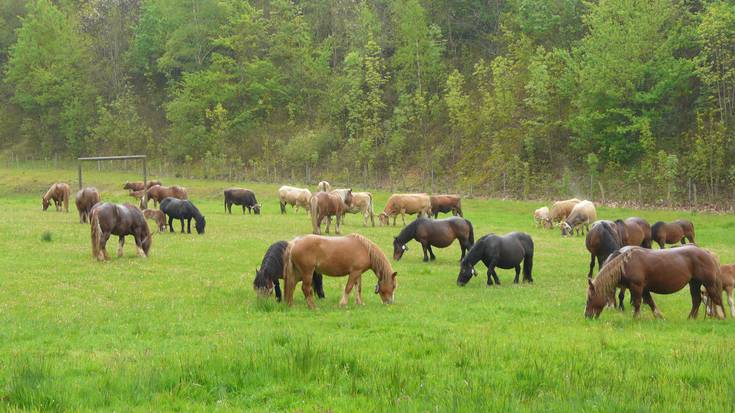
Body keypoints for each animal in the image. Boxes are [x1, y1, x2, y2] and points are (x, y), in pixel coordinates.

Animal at [588, 245, 724, 318]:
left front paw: (636, 318)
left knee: (716, 300)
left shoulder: (637, 287)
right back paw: (691, 318)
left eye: (589, 298)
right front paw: (659, 316)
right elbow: (650, 302)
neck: (625, 263)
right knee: (697, 300)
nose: (587, 316)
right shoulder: (644, 288)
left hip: (709, 284)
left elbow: (637, 303)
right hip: (694, 283)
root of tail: (707, 253)